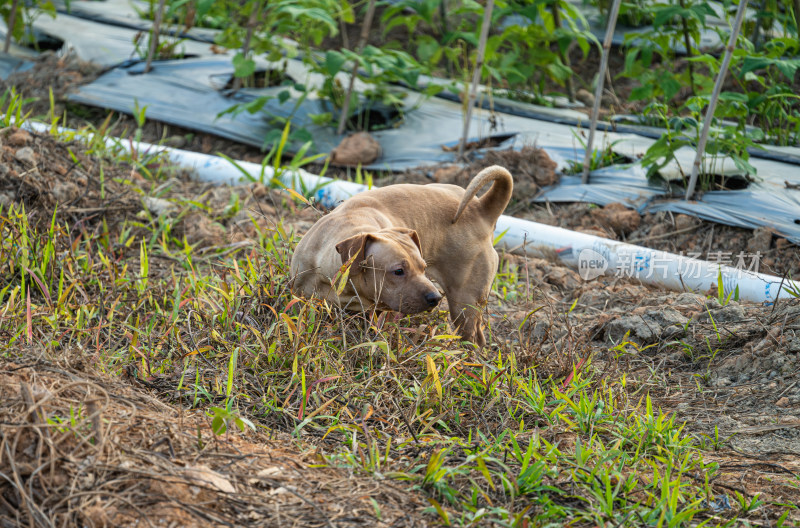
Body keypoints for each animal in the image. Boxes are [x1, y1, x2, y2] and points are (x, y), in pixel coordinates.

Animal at [292, 165, 512, 346]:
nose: (435, 298)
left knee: (473, 337)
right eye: (398, 271)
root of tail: (481, 208)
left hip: (465, 303)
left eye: (423, 268)